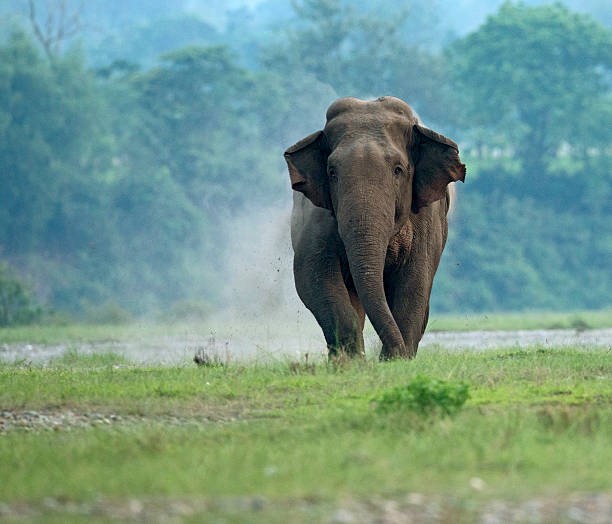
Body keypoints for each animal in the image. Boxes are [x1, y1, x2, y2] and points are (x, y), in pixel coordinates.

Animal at [284, 96, 466, 360]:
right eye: (332, 172)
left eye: (398, 169)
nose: (396, 352)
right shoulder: (316, 213)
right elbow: (312, 272)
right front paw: (351, 361)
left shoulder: (427, 215)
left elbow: (416, 279)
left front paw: (396, 361)